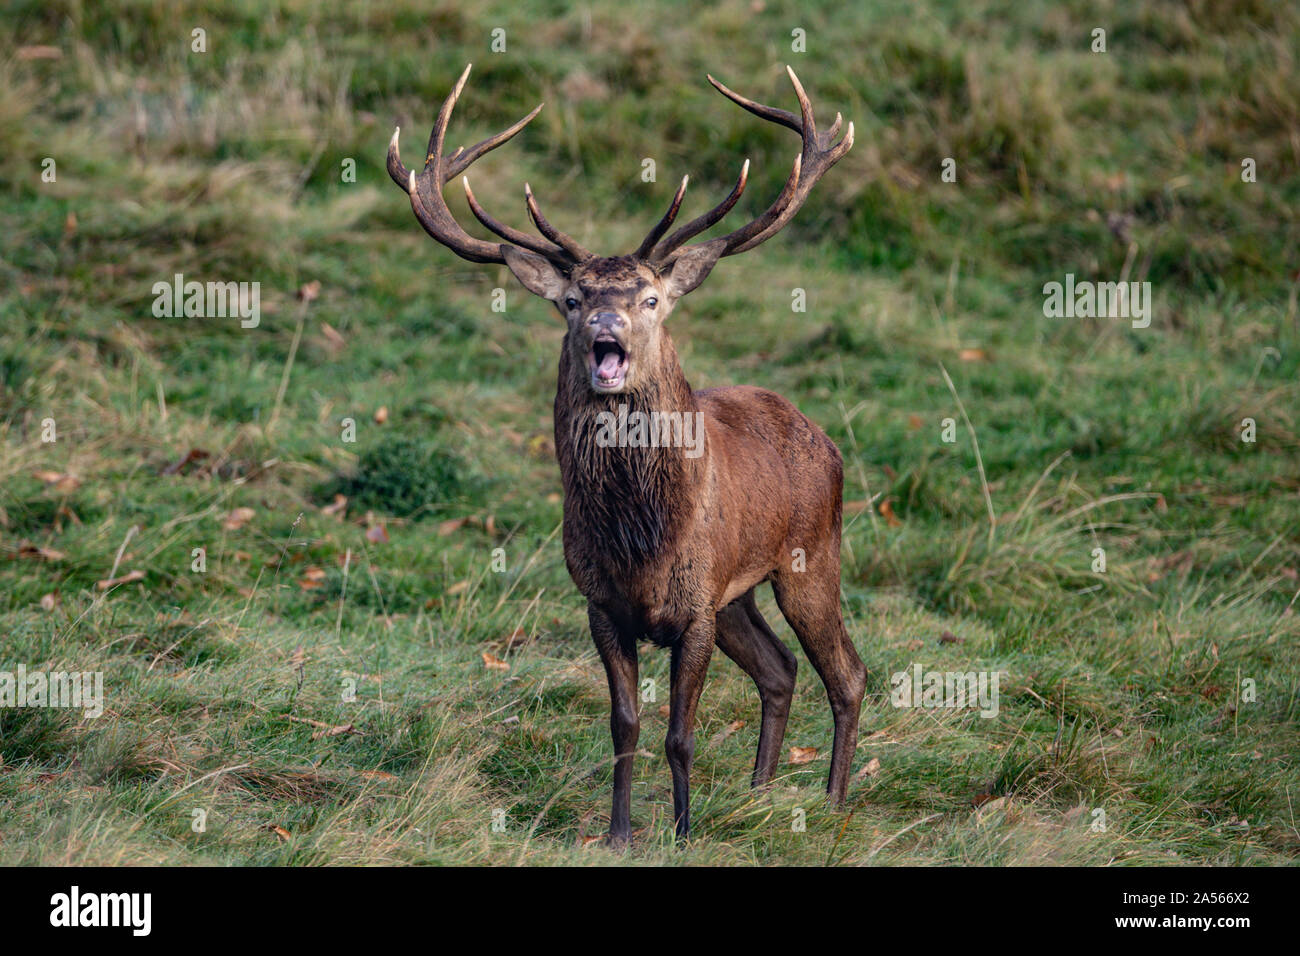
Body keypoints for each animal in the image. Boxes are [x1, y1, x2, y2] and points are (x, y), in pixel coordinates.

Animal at [388, 63, 866, 844]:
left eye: (649, 298)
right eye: (573, 299)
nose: (604, 327)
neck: (640, 538)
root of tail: (823, 440)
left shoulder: (695, 609)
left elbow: (680, 735)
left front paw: (683, 830)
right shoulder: (602, 601)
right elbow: (625, 726)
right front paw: (619, 833)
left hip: (809, 556)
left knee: (846, 672)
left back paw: (830, 802)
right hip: (738, 593)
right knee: (780, 669)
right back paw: (761, 792)